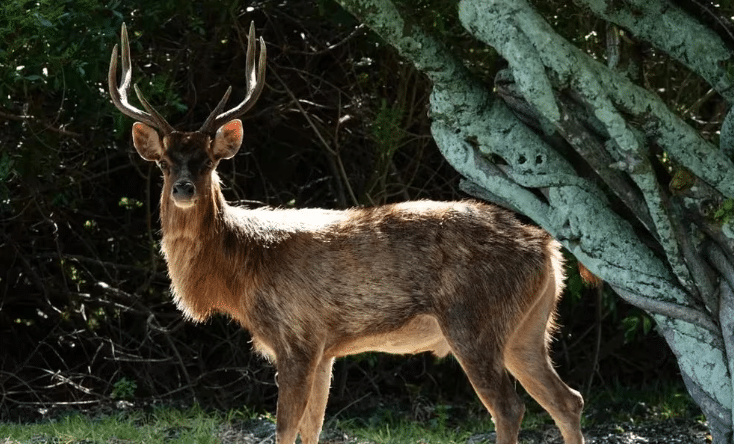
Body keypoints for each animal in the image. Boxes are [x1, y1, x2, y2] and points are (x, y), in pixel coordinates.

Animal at [108, 22, 584, 444]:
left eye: (208, 161)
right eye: (164, 163)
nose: (184, 188)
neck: (244, 267)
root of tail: (547, 250)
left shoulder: (297, 336)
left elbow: (285, 429)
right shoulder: (324, 349)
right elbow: (312, 428)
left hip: (475, 319)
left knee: (510, 407)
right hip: (528, 329)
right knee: (568, 399)